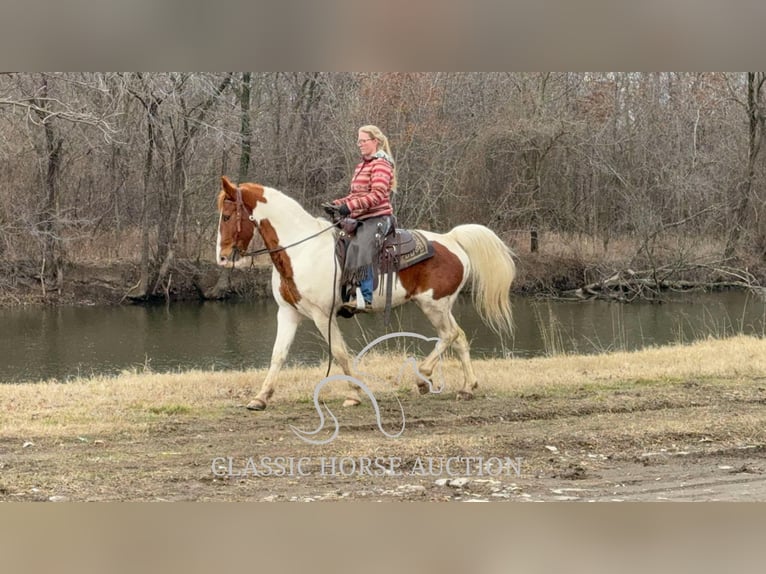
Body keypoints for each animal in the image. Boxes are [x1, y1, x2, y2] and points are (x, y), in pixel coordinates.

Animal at [216, 173, 516, 412]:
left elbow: (340, 353)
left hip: (434, 305)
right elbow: (278, 355)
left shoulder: (322, 315)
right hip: (440, 307)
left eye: (227, 216)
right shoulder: (288, 313)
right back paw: (466, 387)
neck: (301, 250)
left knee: (449, 335)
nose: (221, 257)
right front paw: (260, 397)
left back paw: (423, 376)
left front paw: (354, 395)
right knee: (459, 337)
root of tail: (452, 240)